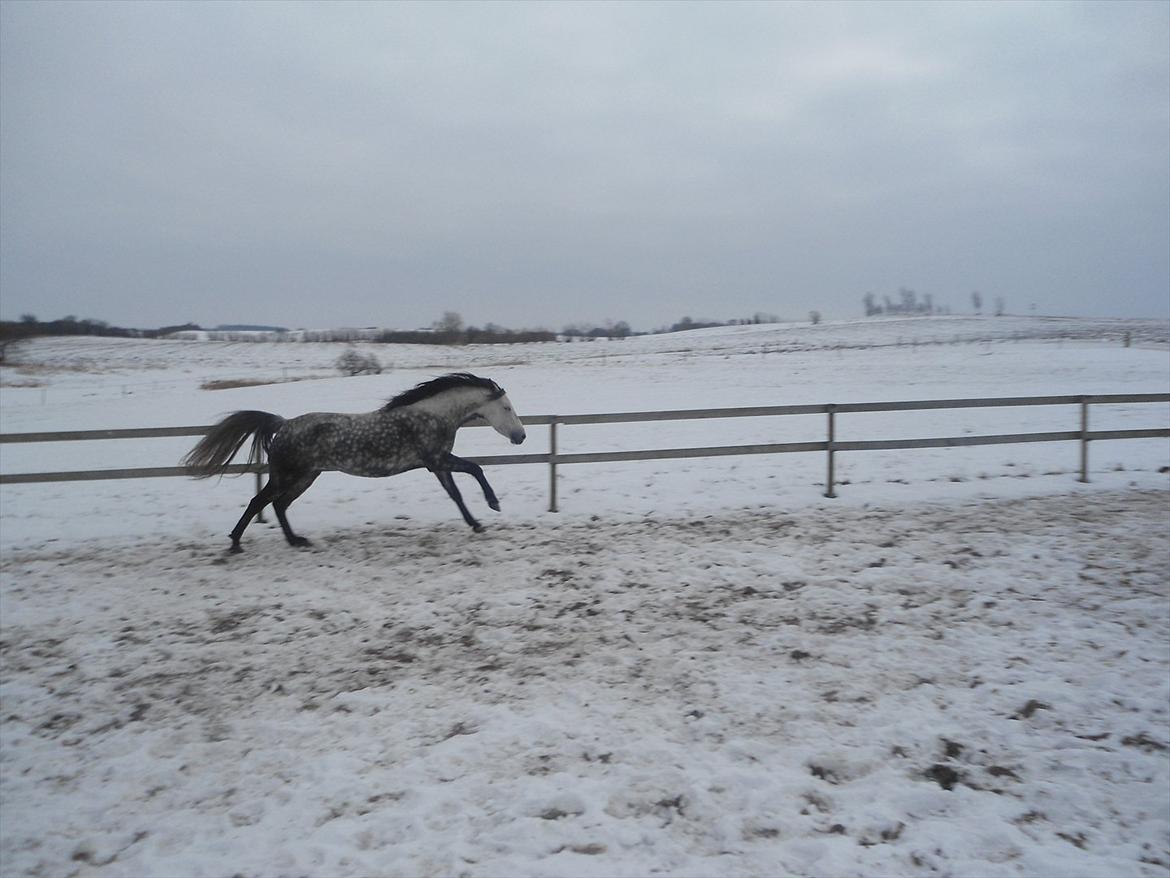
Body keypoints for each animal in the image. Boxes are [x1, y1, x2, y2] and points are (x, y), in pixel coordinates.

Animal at [183, 374, 526, 552]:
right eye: (507, 408)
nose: (521, 437)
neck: (431, 416)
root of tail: (284, 424)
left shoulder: (438, 465)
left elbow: (456, 495)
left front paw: (476, 524)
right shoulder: (438, 459)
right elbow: (476, 469)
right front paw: (493, 504)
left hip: (307, 476)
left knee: (279, 505)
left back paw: (296, 540)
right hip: (288, 474)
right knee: (261, 501)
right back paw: (236, 543)